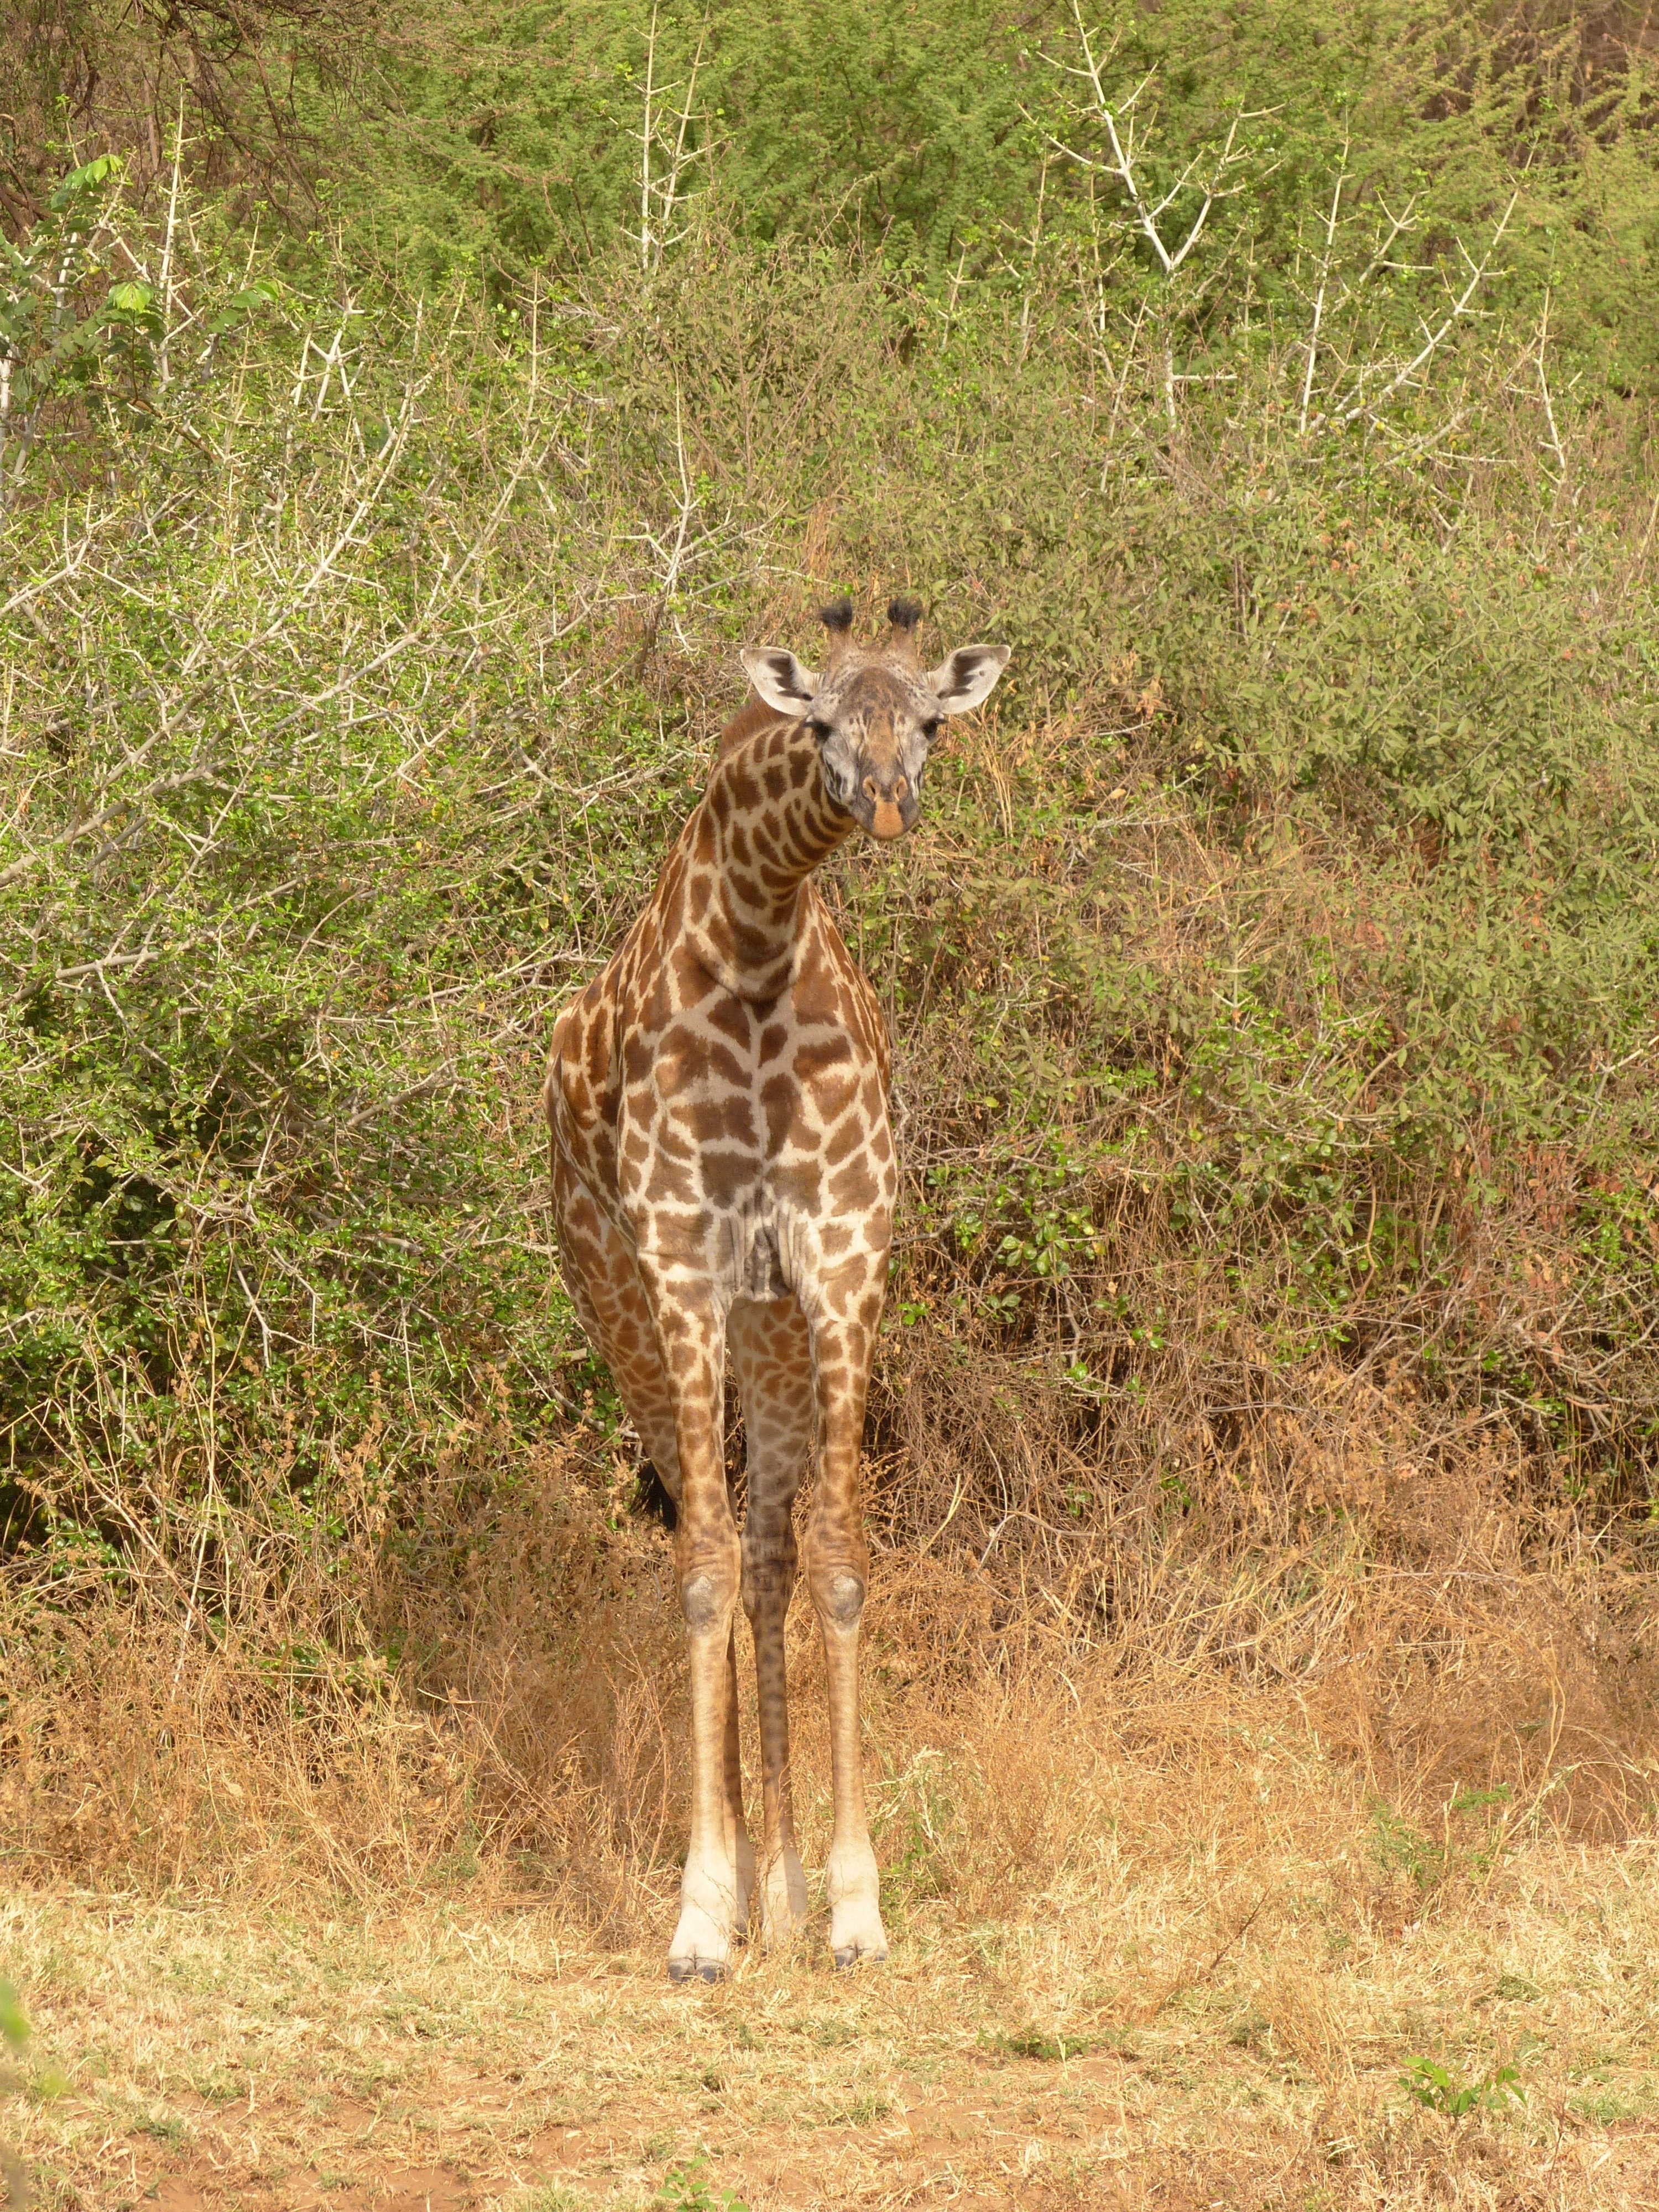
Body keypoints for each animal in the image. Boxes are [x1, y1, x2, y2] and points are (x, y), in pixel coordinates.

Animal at [544, 596, 1010, 1980]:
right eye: (816, 725)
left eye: (927, 721)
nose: (890, 803)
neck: (757, 926)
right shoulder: (681, 1258)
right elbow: (694, 1575)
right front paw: (699, 1913)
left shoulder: (845, 1254)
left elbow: (840, 1562)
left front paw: (852, 1903)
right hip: (623, 1311)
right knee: (711, 1555)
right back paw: (743, 1891)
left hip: (772, 1330)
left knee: (766, 1554)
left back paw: (785, 1892)